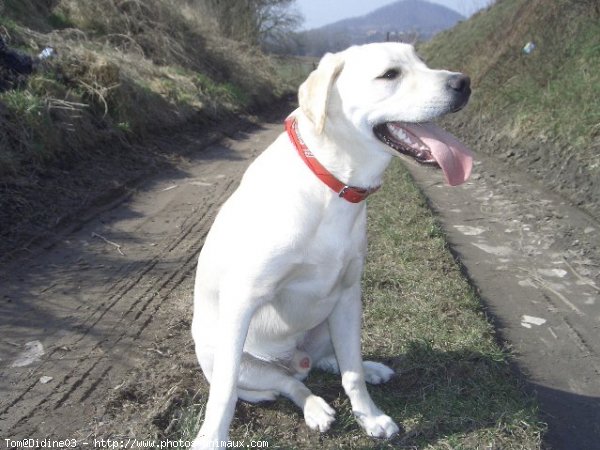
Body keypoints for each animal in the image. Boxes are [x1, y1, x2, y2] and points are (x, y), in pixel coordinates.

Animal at [192, 41, 474, 446]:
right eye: (390, 74)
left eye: (422, 62)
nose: (463, 83)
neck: (332, 186)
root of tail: (296, 359)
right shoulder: (241, 301)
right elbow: (224, 393)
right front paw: (211, 438)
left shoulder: (347, 293)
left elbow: (350, 372)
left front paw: (370, 416)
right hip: (233, 357)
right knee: (287, 384)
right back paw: (314, 408)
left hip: (331, 320)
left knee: (331, 363)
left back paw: (368, 369)